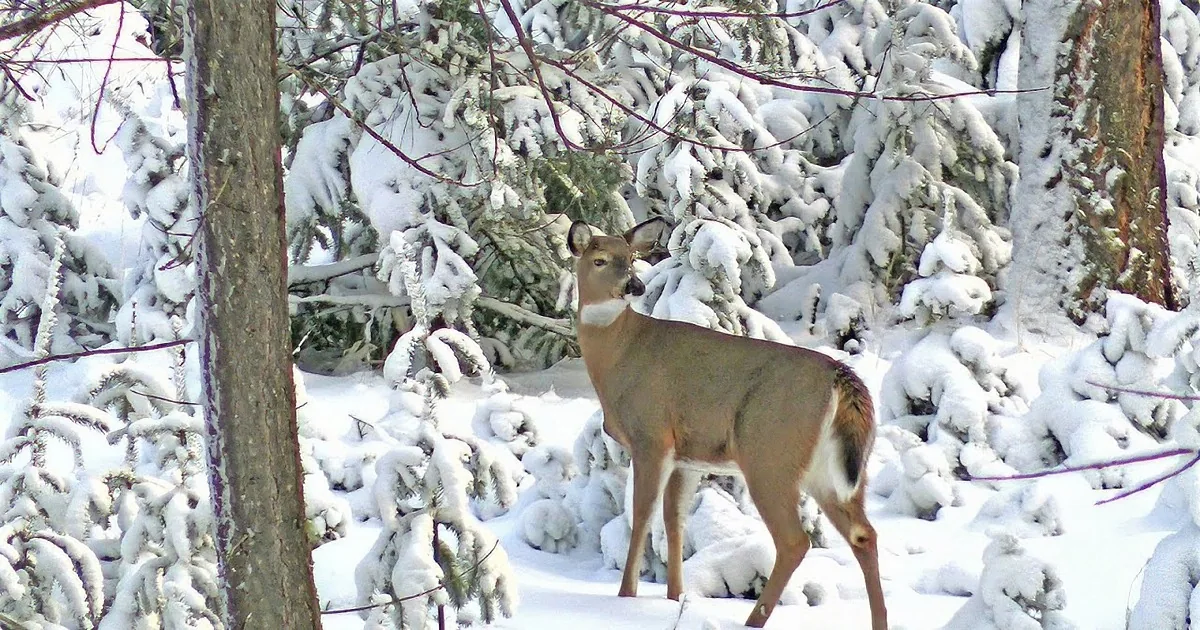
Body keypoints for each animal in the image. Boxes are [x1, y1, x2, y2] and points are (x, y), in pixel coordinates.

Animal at [566, 217, 888, 629]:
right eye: (601, 260)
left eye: (632, 258)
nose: (634, 286)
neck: (618, 355)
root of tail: (840, 376)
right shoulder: (687, 455)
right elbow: (674, 520)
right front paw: (675, 598)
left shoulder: (651, 435)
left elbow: (642, 516)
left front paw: (625, 597)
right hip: (832, 472)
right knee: (864, 534)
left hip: (769, 453)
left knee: (794, 540)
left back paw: (754, 619)